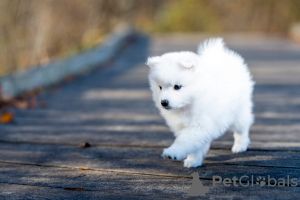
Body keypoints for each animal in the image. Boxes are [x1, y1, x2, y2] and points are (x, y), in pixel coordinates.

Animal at [146, 37, 254, 167]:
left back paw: (240, 145)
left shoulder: (198, 125)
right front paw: (194, 160)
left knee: (242, 129)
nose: (164, 102)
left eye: (177, 86)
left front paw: (173, 152)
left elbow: (185, 141)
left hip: (239, 111)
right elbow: (194, 145)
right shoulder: (185, 126)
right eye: (160, 87)